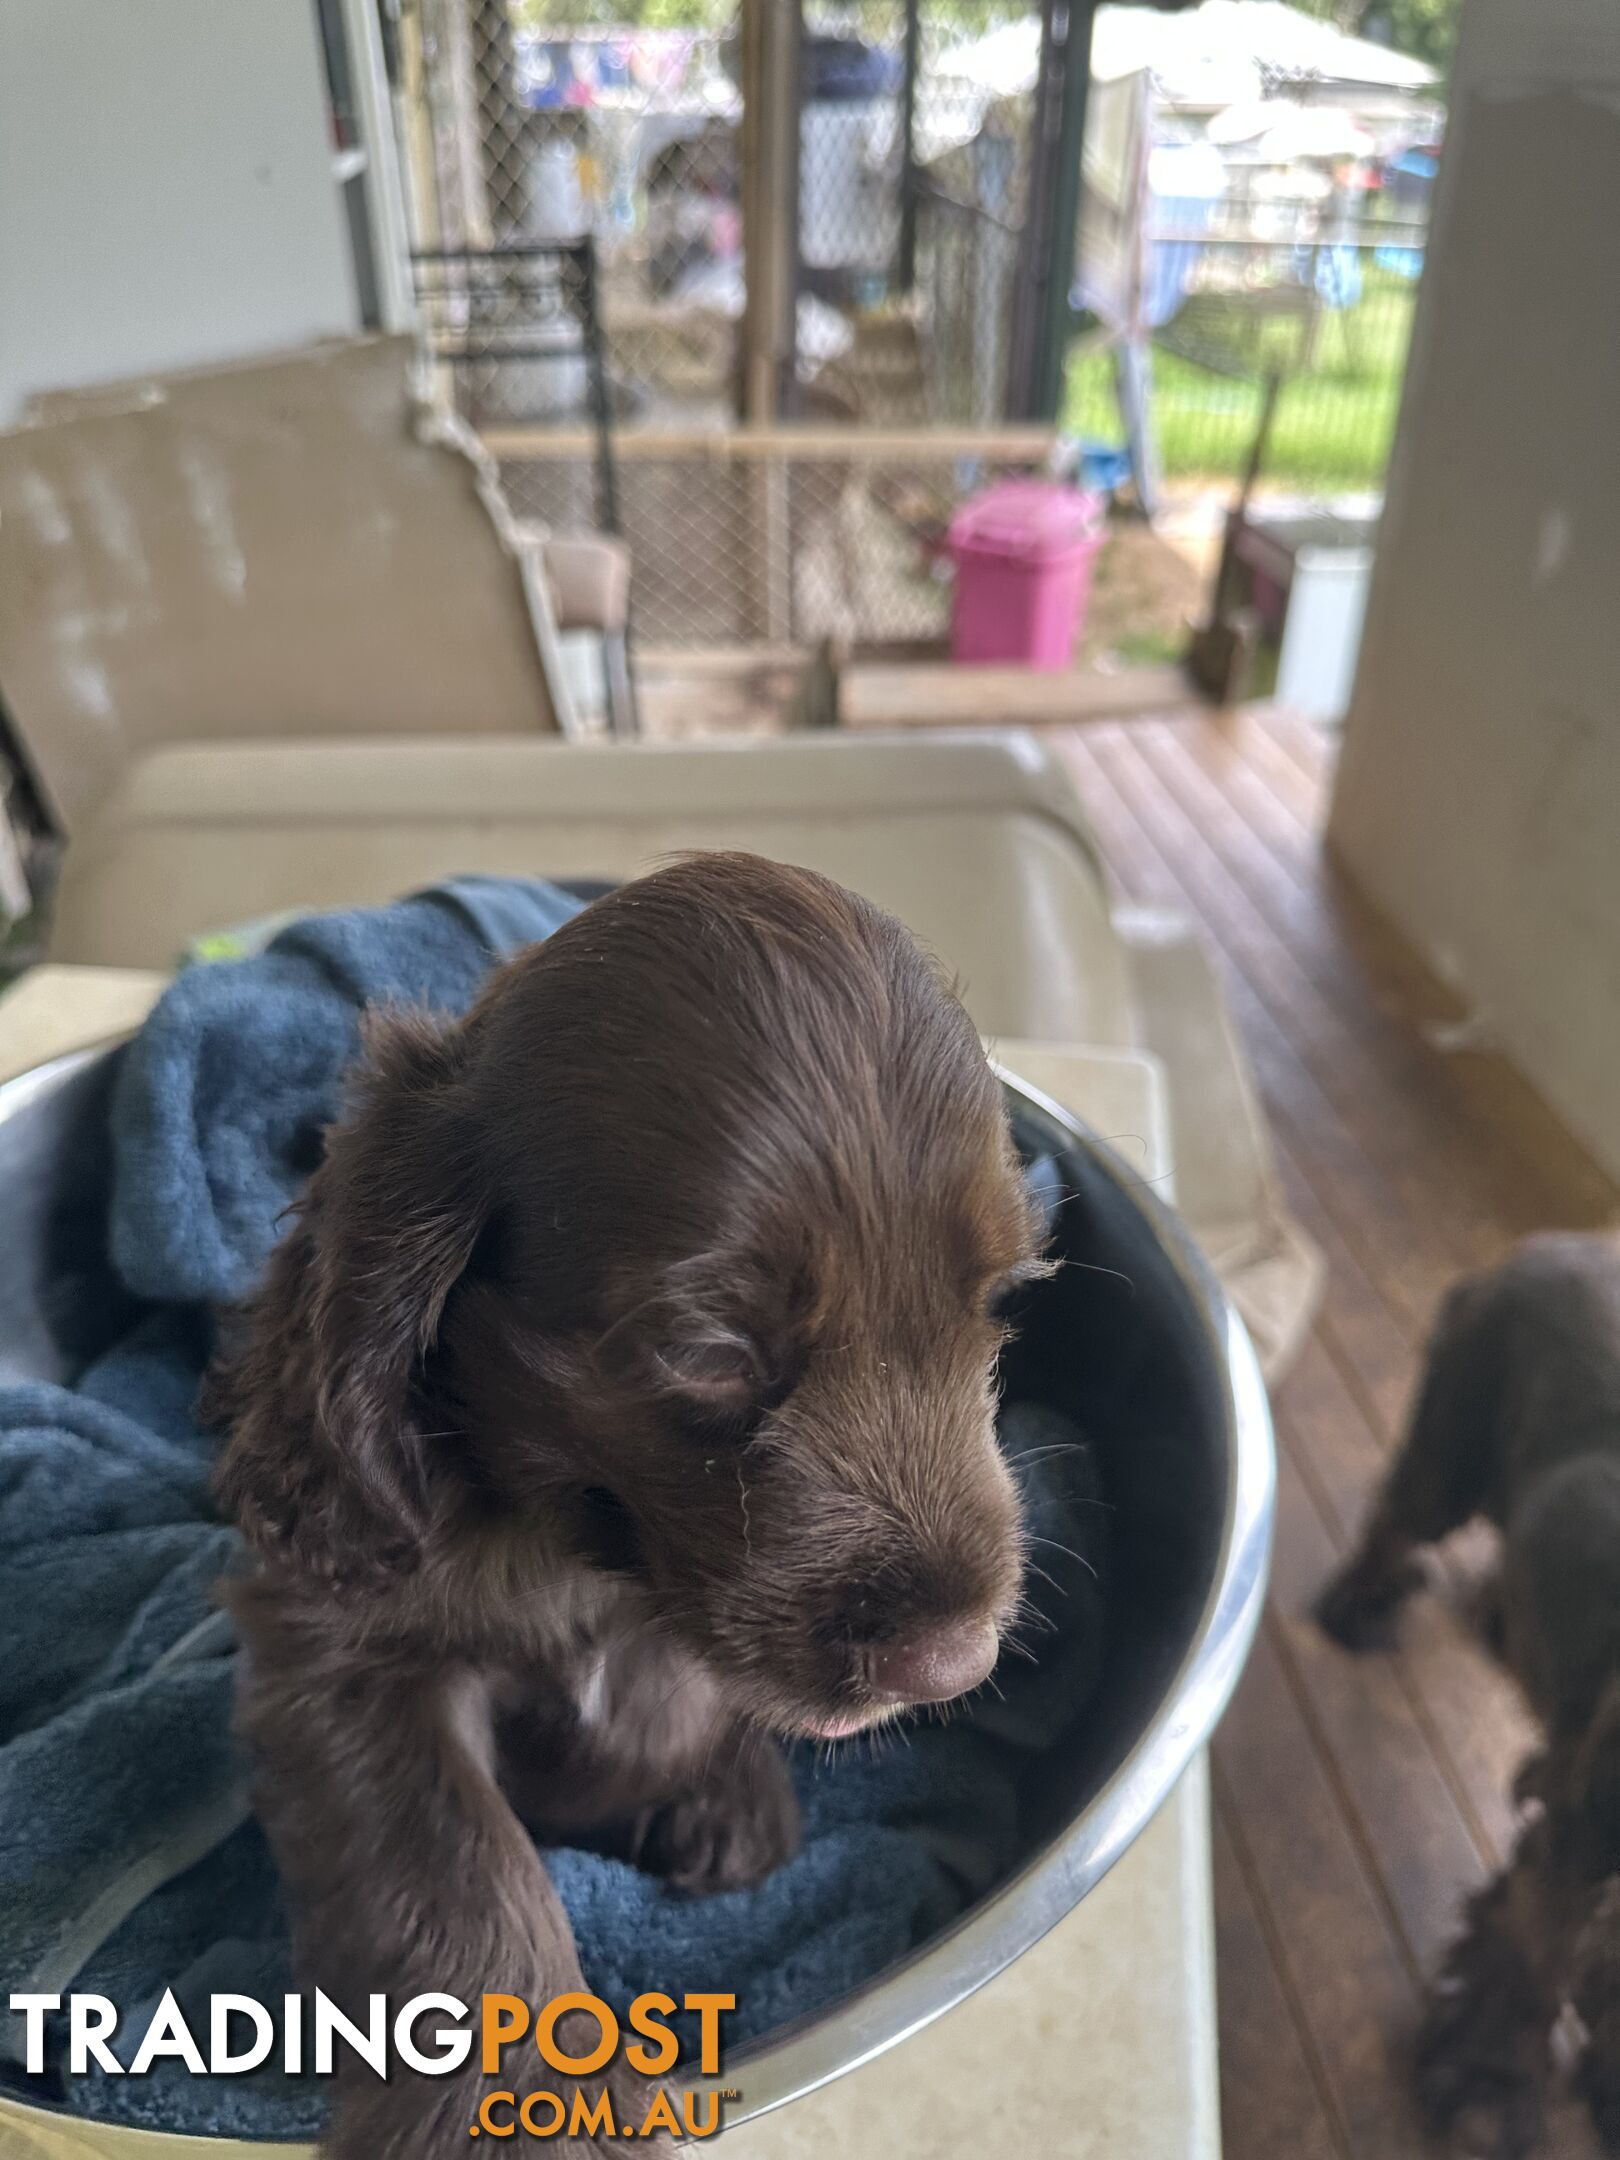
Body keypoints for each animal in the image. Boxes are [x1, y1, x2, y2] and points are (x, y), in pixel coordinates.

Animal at [209, 851, 1045, 2160]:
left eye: (999, 1297)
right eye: (707, 1352)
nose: (951, 1663)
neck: (578, 1545)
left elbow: (674, 1704)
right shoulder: (340, 1649)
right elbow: (455, 1867)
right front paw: (514, 2120)